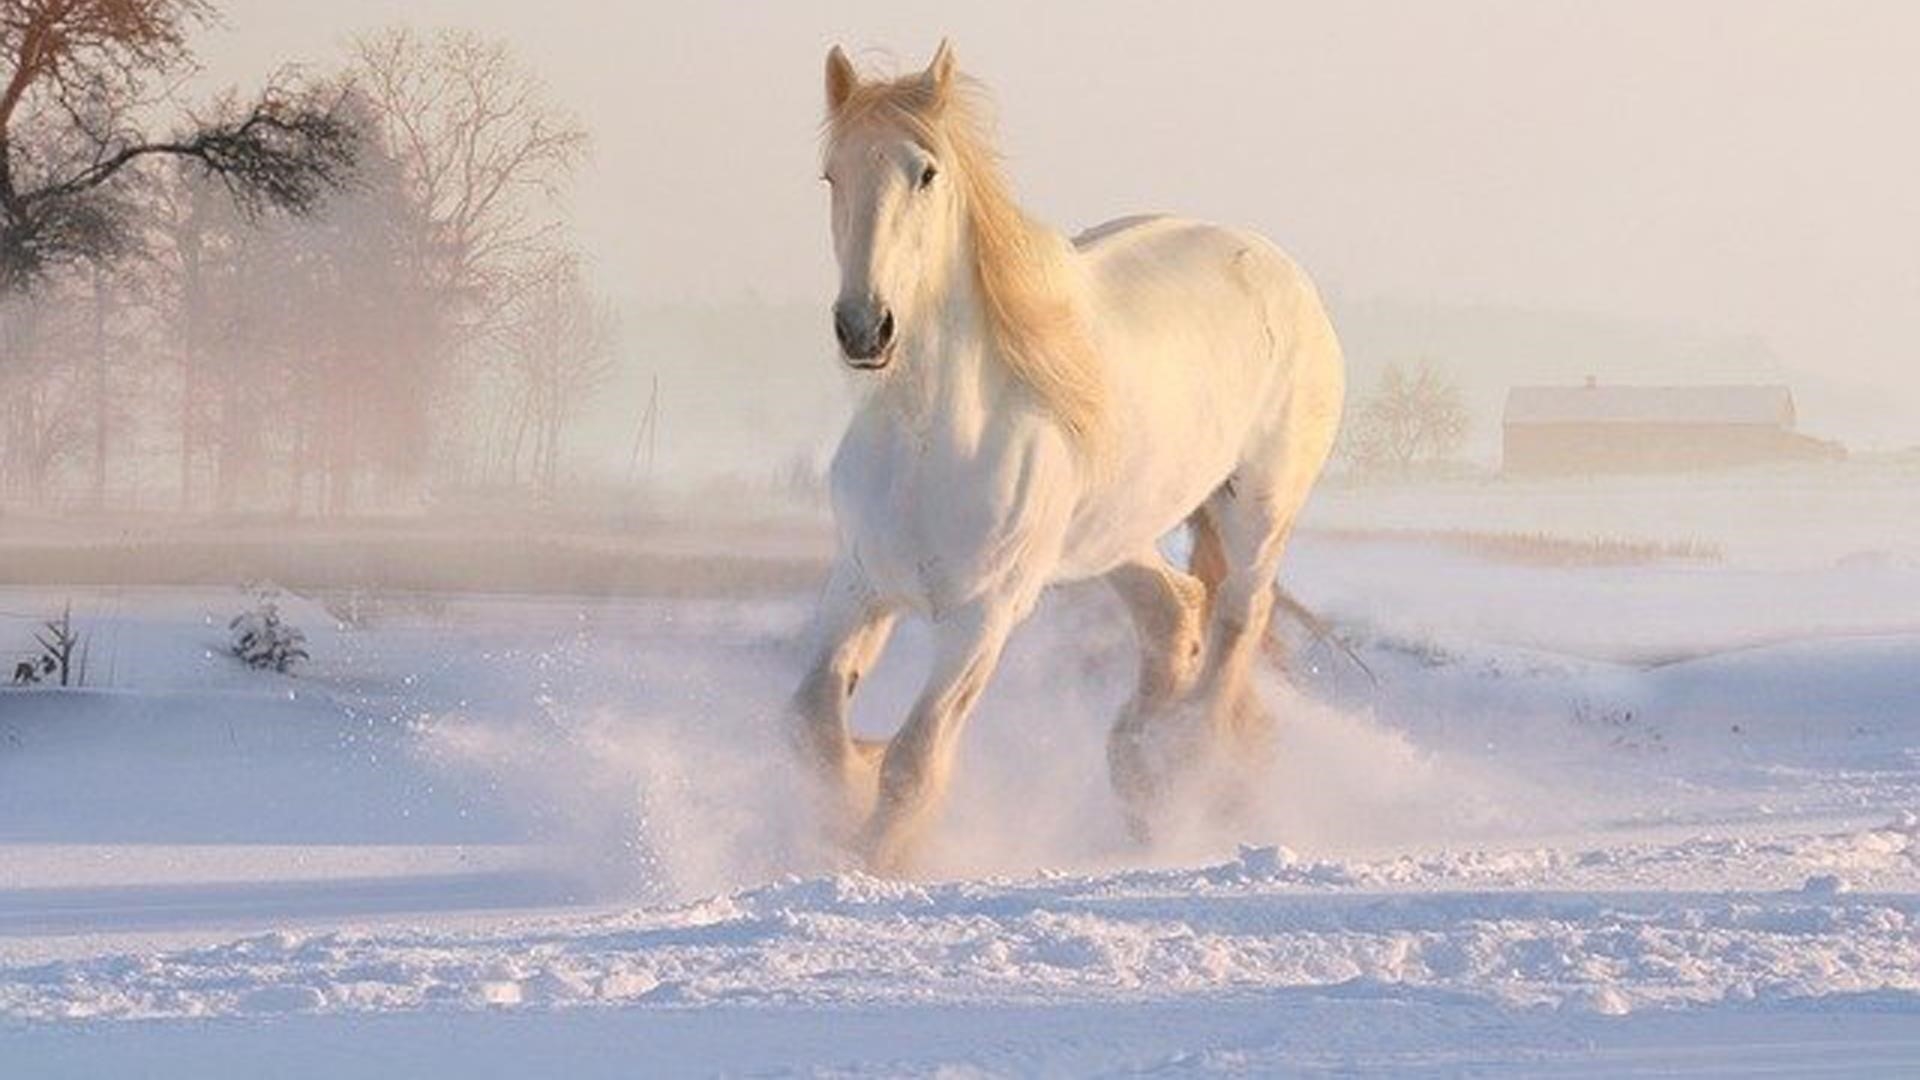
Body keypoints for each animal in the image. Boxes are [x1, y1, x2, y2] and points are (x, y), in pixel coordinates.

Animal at [787, 39, 1344, 876]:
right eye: (832, 174)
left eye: (926, 172)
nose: (864, 328)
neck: (930, 441)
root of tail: (1281, 269)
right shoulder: (859, 585)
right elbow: (814, 725)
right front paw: (849, 794)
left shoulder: (983, 616)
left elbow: (914, 762)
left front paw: (878, 861)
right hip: (1112, 536)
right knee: (1175, 608)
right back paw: (1140, 768)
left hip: (1258, 510)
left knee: (1237, 620)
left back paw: (1186, 767)